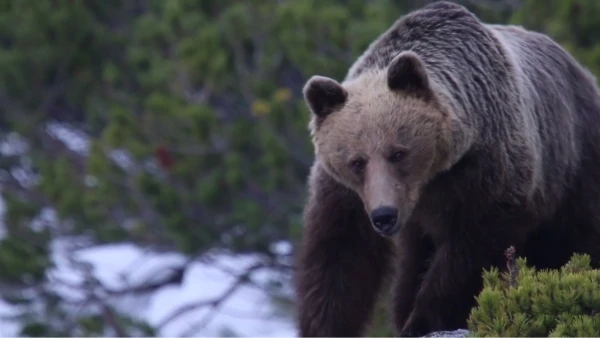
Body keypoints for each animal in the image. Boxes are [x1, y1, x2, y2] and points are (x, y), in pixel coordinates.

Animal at [296, 1, 600, 336]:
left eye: (398, 153)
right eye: (356, 161)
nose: (384, 215)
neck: (430, 179)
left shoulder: (485, 170)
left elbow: (470, 253)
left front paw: (422, 320)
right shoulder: (347, 193)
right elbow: (341, 253)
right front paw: (327, 325)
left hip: (572, 163)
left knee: (572, 240)